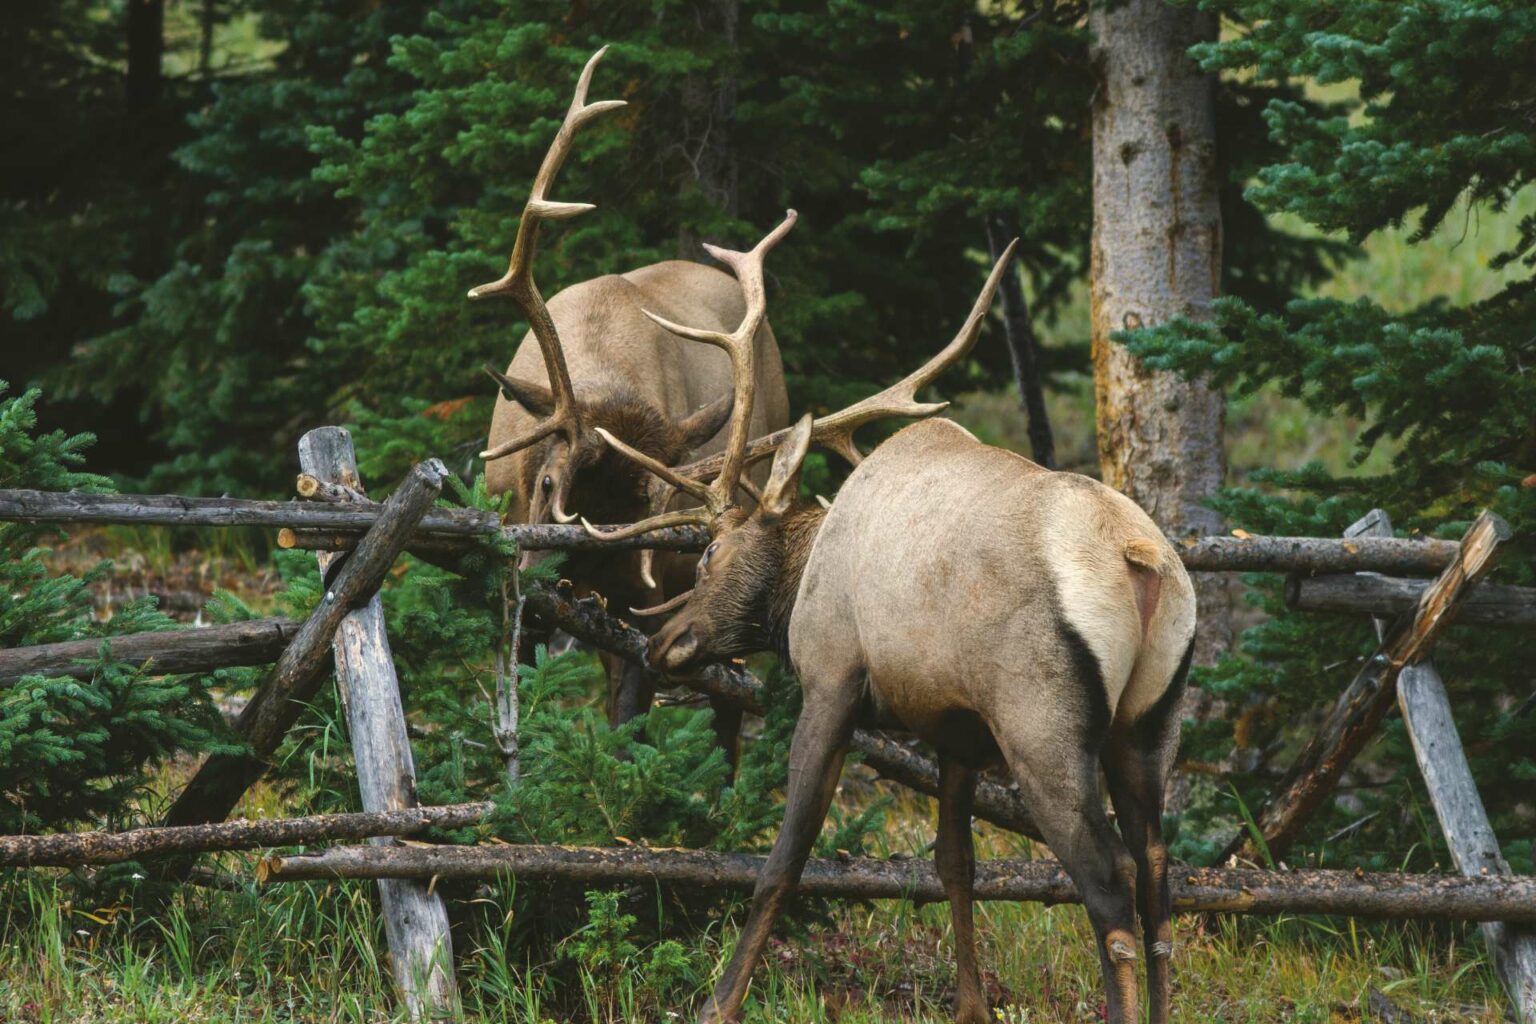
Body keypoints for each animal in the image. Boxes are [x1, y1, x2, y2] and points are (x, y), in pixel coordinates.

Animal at [473, 49, 792, 746]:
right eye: (548, 483)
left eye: (634, 519)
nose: (544, 591)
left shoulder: (649, 602)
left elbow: (627, 728)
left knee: (729, 702)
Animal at [586, 237, 1198, 1024]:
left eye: (710, 555)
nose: (665, 643)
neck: (804, 575)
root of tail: (1139, 561)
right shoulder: (956, 729)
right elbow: (953, 864)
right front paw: (971, 1006)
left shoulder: (831, 682)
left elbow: (784, 860)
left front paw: (719, 1002)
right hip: (1149, 723)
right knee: (1157, 875)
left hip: (1043, 726)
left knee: (1110, 882)